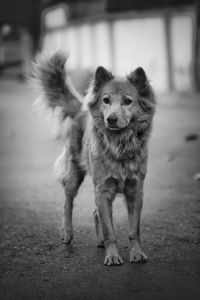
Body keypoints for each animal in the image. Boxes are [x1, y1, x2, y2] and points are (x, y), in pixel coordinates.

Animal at [34, 52, 156, 266]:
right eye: (106, 100)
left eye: (128, 101)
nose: (111, 119)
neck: (119, 144)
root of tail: (81, 110)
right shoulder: (103, 190)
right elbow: (109, 230)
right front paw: (112, 256)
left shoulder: (135, 192)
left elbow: (134, 230)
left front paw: (136, 253)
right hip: (74, 175)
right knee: (68, 203)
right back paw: (67, 232)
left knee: (94, 212)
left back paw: (99, 240)